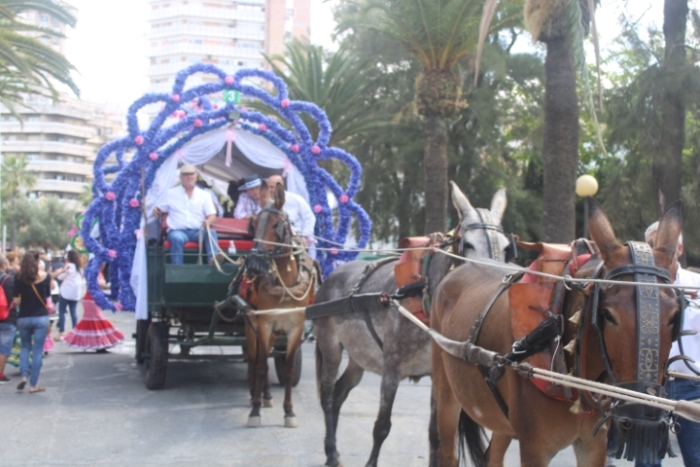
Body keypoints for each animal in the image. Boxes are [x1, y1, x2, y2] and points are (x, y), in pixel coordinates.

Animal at [314, 183, 512, 467]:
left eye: (507, 248)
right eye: (468, 245)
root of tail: (332, 276)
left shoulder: (437, 375)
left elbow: (436, 434)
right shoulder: (392, 369)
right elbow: (381, 427)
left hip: (359, 357)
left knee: (340, 392)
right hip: (330, 347)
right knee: (328, 396)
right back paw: (331, 452)